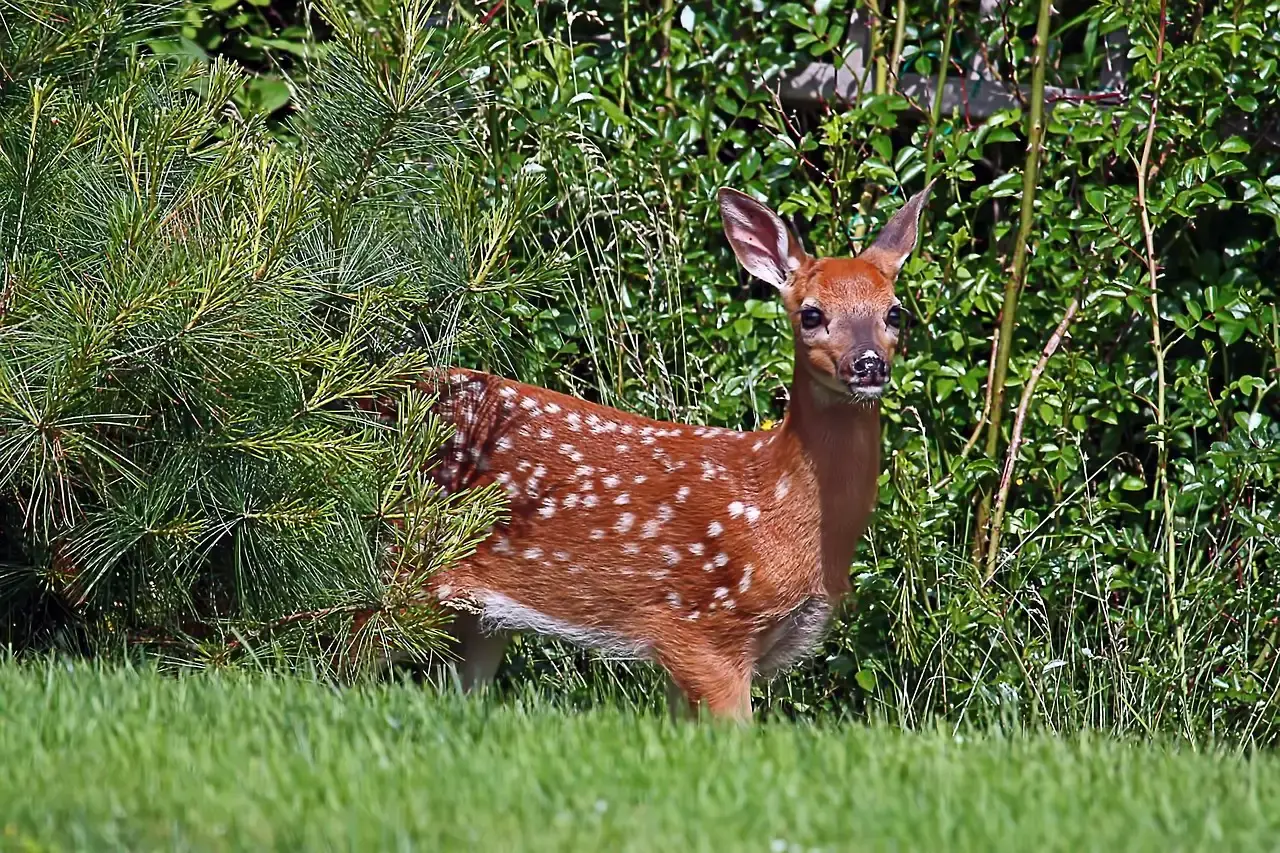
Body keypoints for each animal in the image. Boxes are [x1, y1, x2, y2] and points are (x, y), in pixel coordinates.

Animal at [421, 182, 932, 721]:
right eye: (811, 314)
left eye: (894, 312)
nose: (868, 364)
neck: (775, 504)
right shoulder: (702, 626)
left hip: (478, 621)